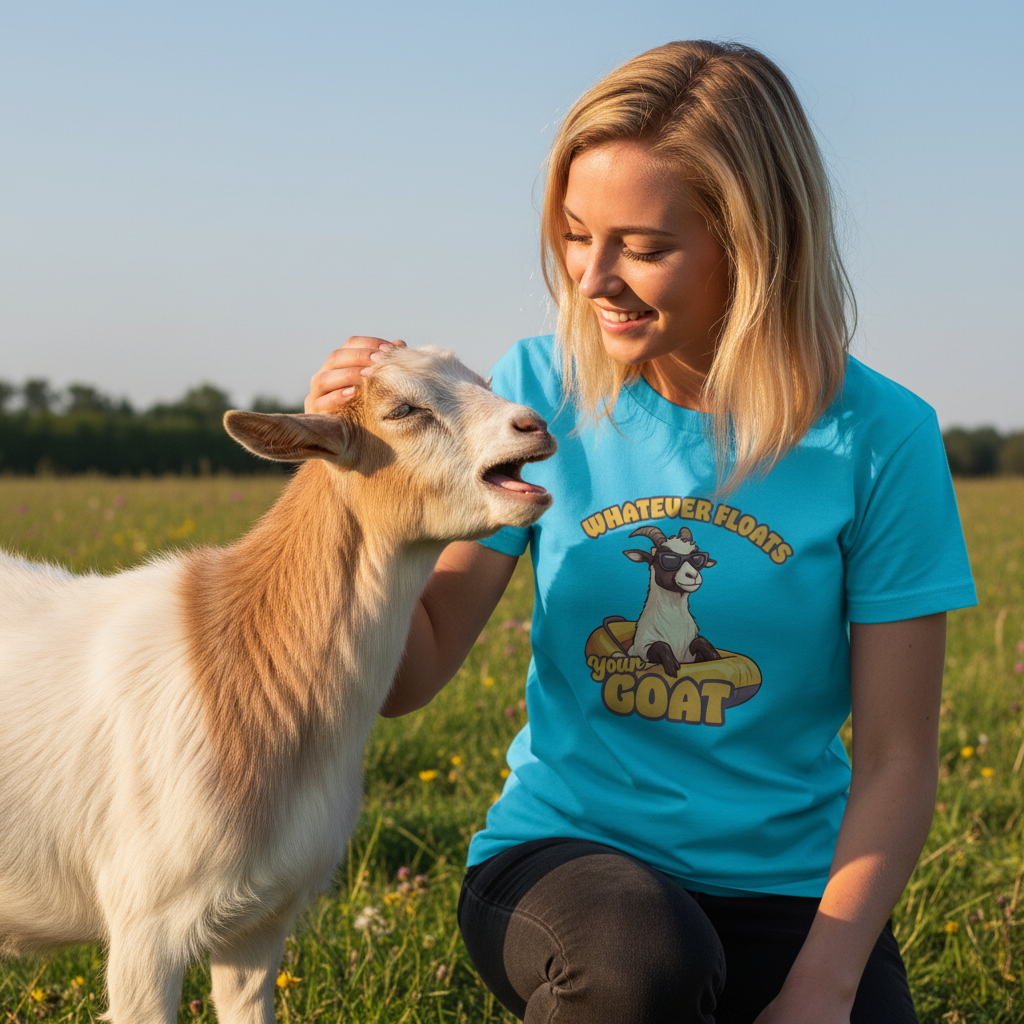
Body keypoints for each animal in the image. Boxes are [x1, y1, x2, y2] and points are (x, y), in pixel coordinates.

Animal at [0, 346, 556, 1024]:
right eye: (403, 410)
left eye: (484, 381)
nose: (533, 424)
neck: (242, 667)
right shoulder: (144, 926)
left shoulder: (259, 921)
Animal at [622, 525, 719, 676]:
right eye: (668, 559)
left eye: (697, 559)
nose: (693, 575)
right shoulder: (643, 649)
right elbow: (660, 644)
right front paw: (672, 667)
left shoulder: (689, 655)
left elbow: (700, 642)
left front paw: (714, 656)